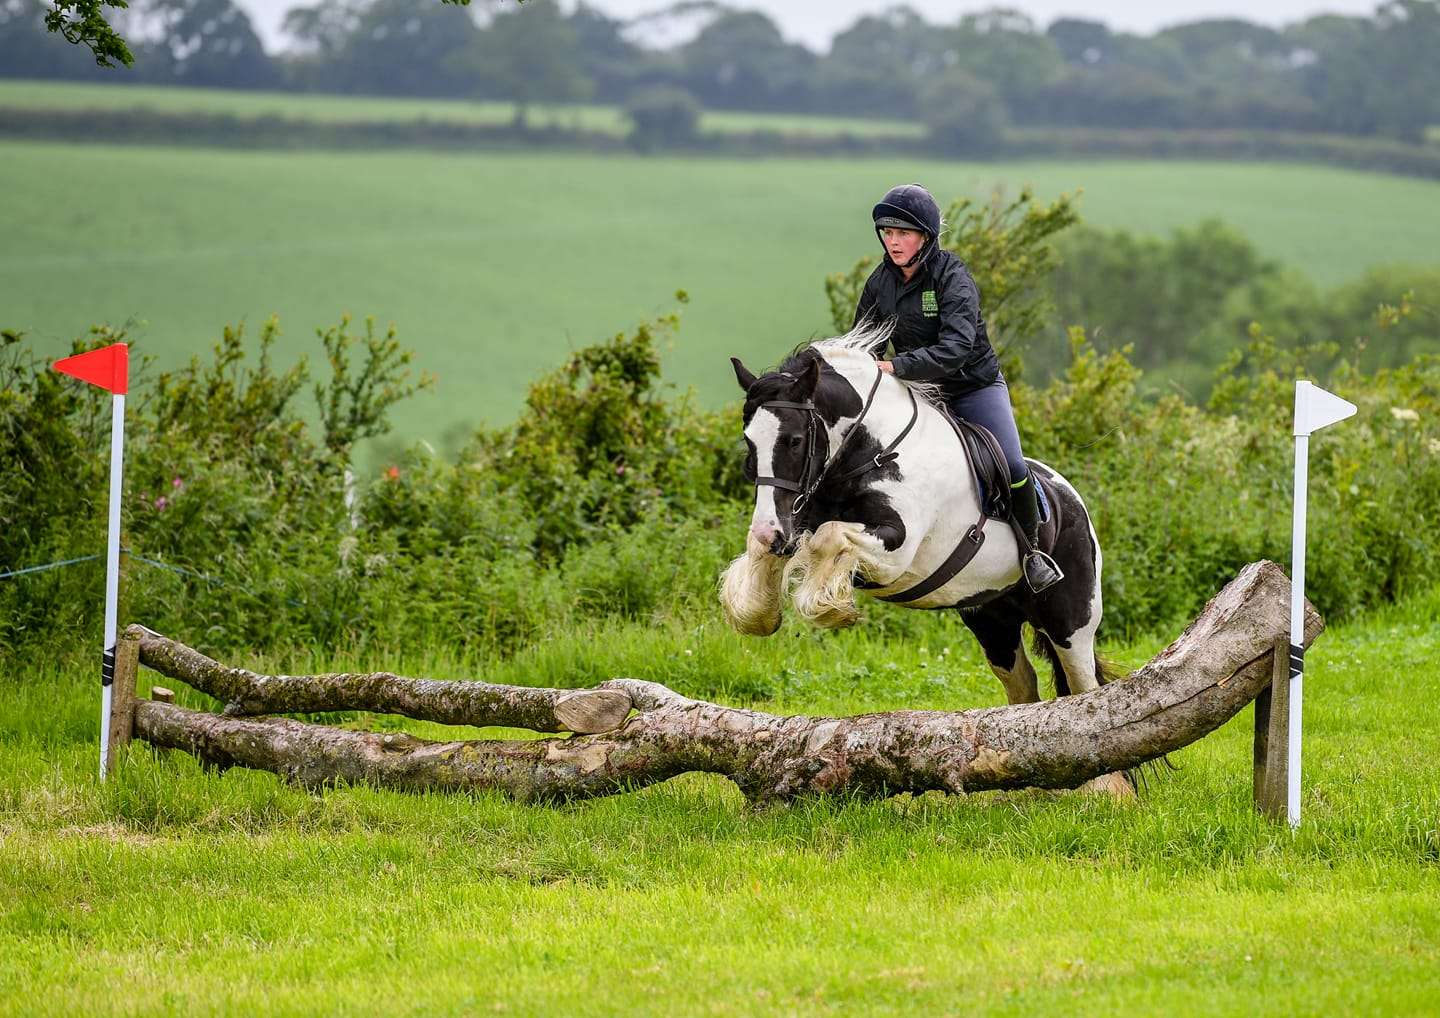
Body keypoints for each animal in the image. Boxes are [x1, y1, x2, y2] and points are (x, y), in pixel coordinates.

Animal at [719, 327, 1132, 796]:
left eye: (793, 440)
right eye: (749, 442)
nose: (772, 532)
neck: (871, 452)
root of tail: (1072, 500)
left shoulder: (896, 549)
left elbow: (828, 538)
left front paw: (827, 607)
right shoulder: (797, 519)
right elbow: (777, 548)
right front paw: (756, 611)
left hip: (1071, 619)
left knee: (1084, 688)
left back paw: (1107, 790)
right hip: (993, 620)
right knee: (1022, 686)